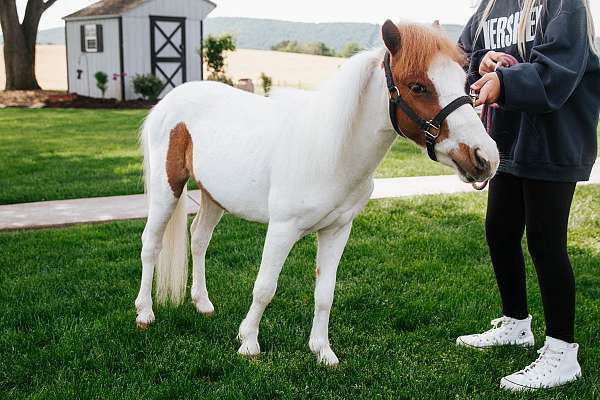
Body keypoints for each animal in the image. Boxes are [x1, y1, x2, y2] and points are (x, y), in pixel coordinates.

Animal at [136, 21, 502, 366]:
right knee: (151, 244)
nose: (485, 158)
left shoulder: (337, 230)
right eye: (417, 86)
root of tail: (168, 102)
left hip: (213, 195)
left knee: (199, 239)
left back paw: (202, 303)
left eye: (464, 81)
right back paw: (145, 312)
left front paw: (323, 351)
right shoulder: (282, 229)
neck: (331, 150)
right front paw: (249, 342)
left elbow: (325, 292)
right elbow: (265, 287)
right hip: (167, 189)